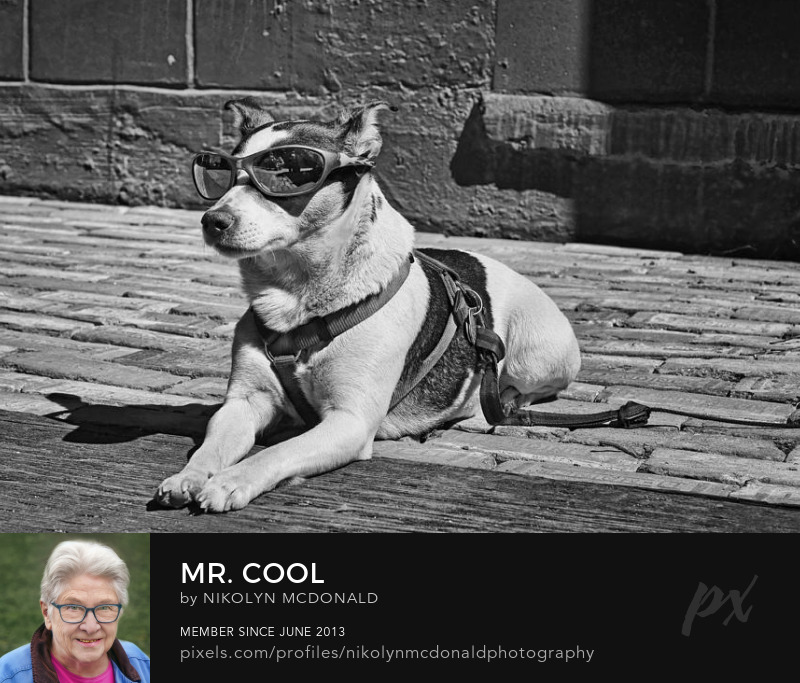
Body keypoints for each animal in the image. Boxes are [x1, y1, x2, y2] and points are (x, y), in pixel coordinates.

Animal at [156, 99, 580, 510]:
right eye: (221, 175)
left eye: (287, 171)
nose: (212, 220)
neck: (298, 298)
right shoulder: (244, 403)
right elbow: (211, 447)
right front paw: (187, 477)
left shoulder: (350, 421)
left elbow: (276, 452)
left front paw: (231, 481)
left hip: (535, 356)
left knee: (521, 393)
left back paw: (482, 411)